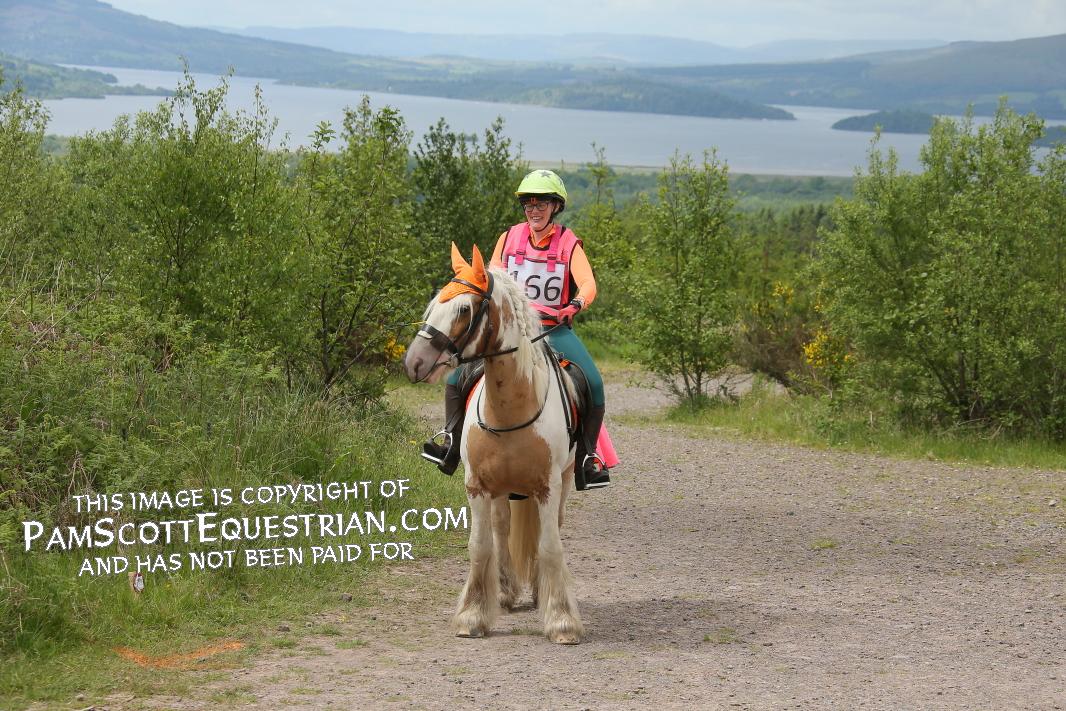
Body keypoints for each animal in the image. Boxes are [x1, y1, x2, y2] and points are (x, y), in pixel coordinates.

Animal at [404, 243, 584, 644]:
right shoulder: (477, 486)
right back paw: (503, 591)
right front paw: (472, 615)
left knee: (551, 529)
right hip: (502, 489)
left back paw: (537, 592)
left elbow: (550, 546)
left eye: (464, 309)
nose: (414, 362)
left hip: (563, 480)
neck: (510, 407)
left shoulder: (548, 486)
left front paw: (562, 621)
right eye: (435, 302)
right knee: (502, 531)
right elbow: (480, 545)